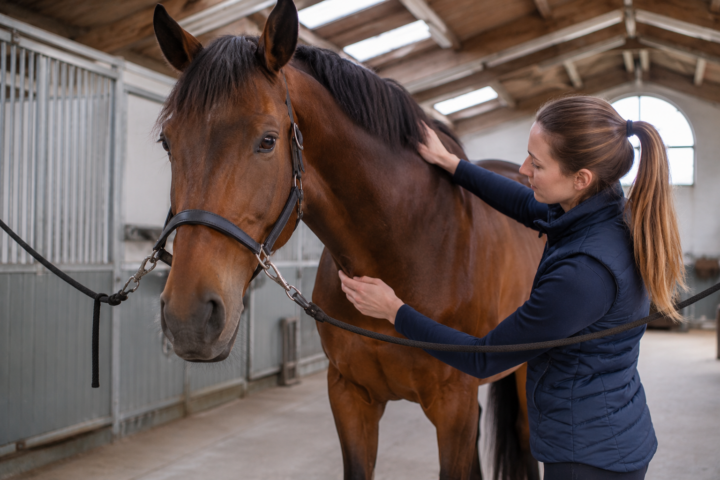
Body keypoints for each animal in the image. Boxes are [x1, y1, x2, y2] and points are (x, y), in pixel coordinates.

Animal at [153, 1, 544, 478]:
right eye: (167, 143)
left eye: (267, 141)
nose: (188, 317)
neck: (410, 244)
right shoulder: (349, 396)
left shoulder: (454, 404)